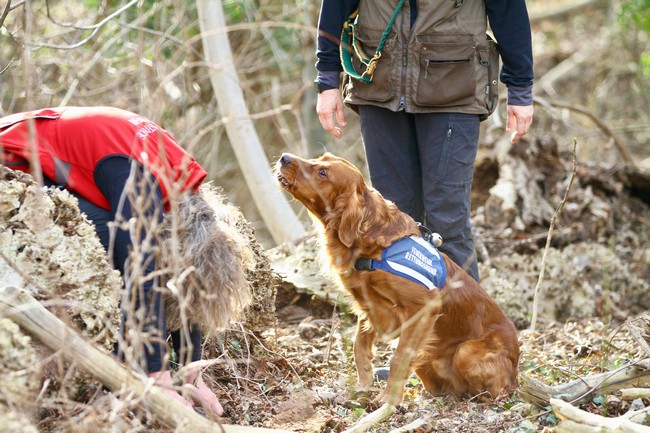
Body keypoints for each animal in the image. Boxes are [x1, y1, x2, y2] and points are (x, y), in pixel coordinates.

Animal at [274, 152, 520, 407]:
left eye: (323, 172)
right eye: (320, 158)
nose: (284, 157)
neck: (373, 244)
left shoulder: (422, 309)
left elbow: (399, 357)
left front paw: (388, 399)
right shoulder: (368, 305)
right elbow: (359, 346)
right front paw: (363, 385)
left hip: (465, 352)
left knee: (497, 390)